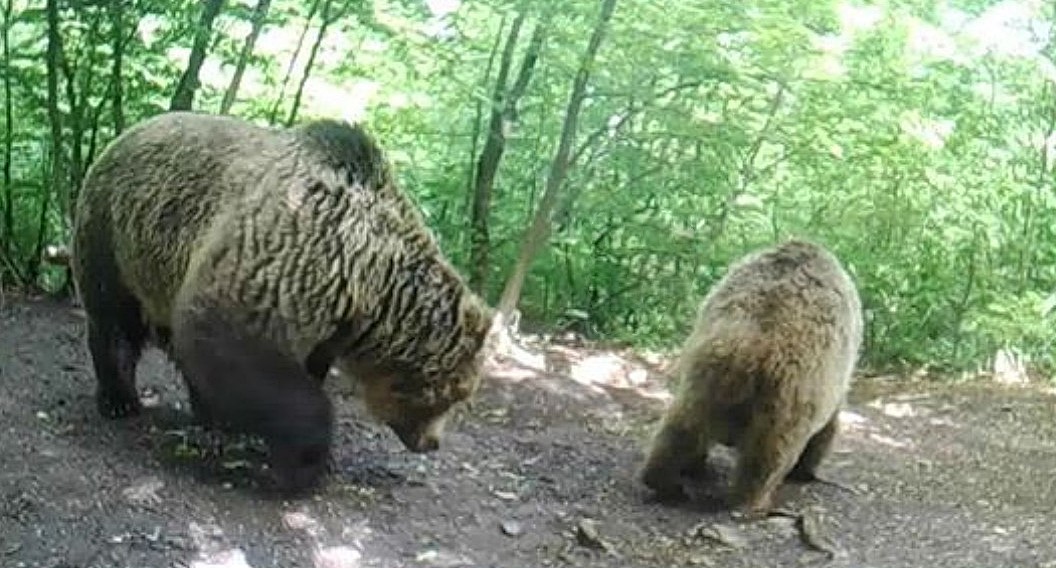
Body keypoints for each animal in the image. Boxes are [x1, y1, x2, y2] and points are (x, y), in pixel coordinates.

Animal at [72, 110, 492, 489]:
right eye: (453, 396)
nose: (432, 442)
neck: (367, 284)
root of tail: (127, 132)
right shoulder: (284, 264)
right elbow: (236, 350)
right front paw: (306, 460)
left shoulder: (325, 320)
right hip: (115, 232)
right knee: (113, 319)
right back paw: (119, 399)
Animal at [637, 236, 861, 515]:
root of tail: (753, 347)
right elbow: (826, 431)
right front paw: (806, 469)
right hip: (787, 397)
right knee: (766, 458)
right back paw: (750, 502)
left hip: (707, 373)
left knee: (680, 428)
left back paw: (667, 481)